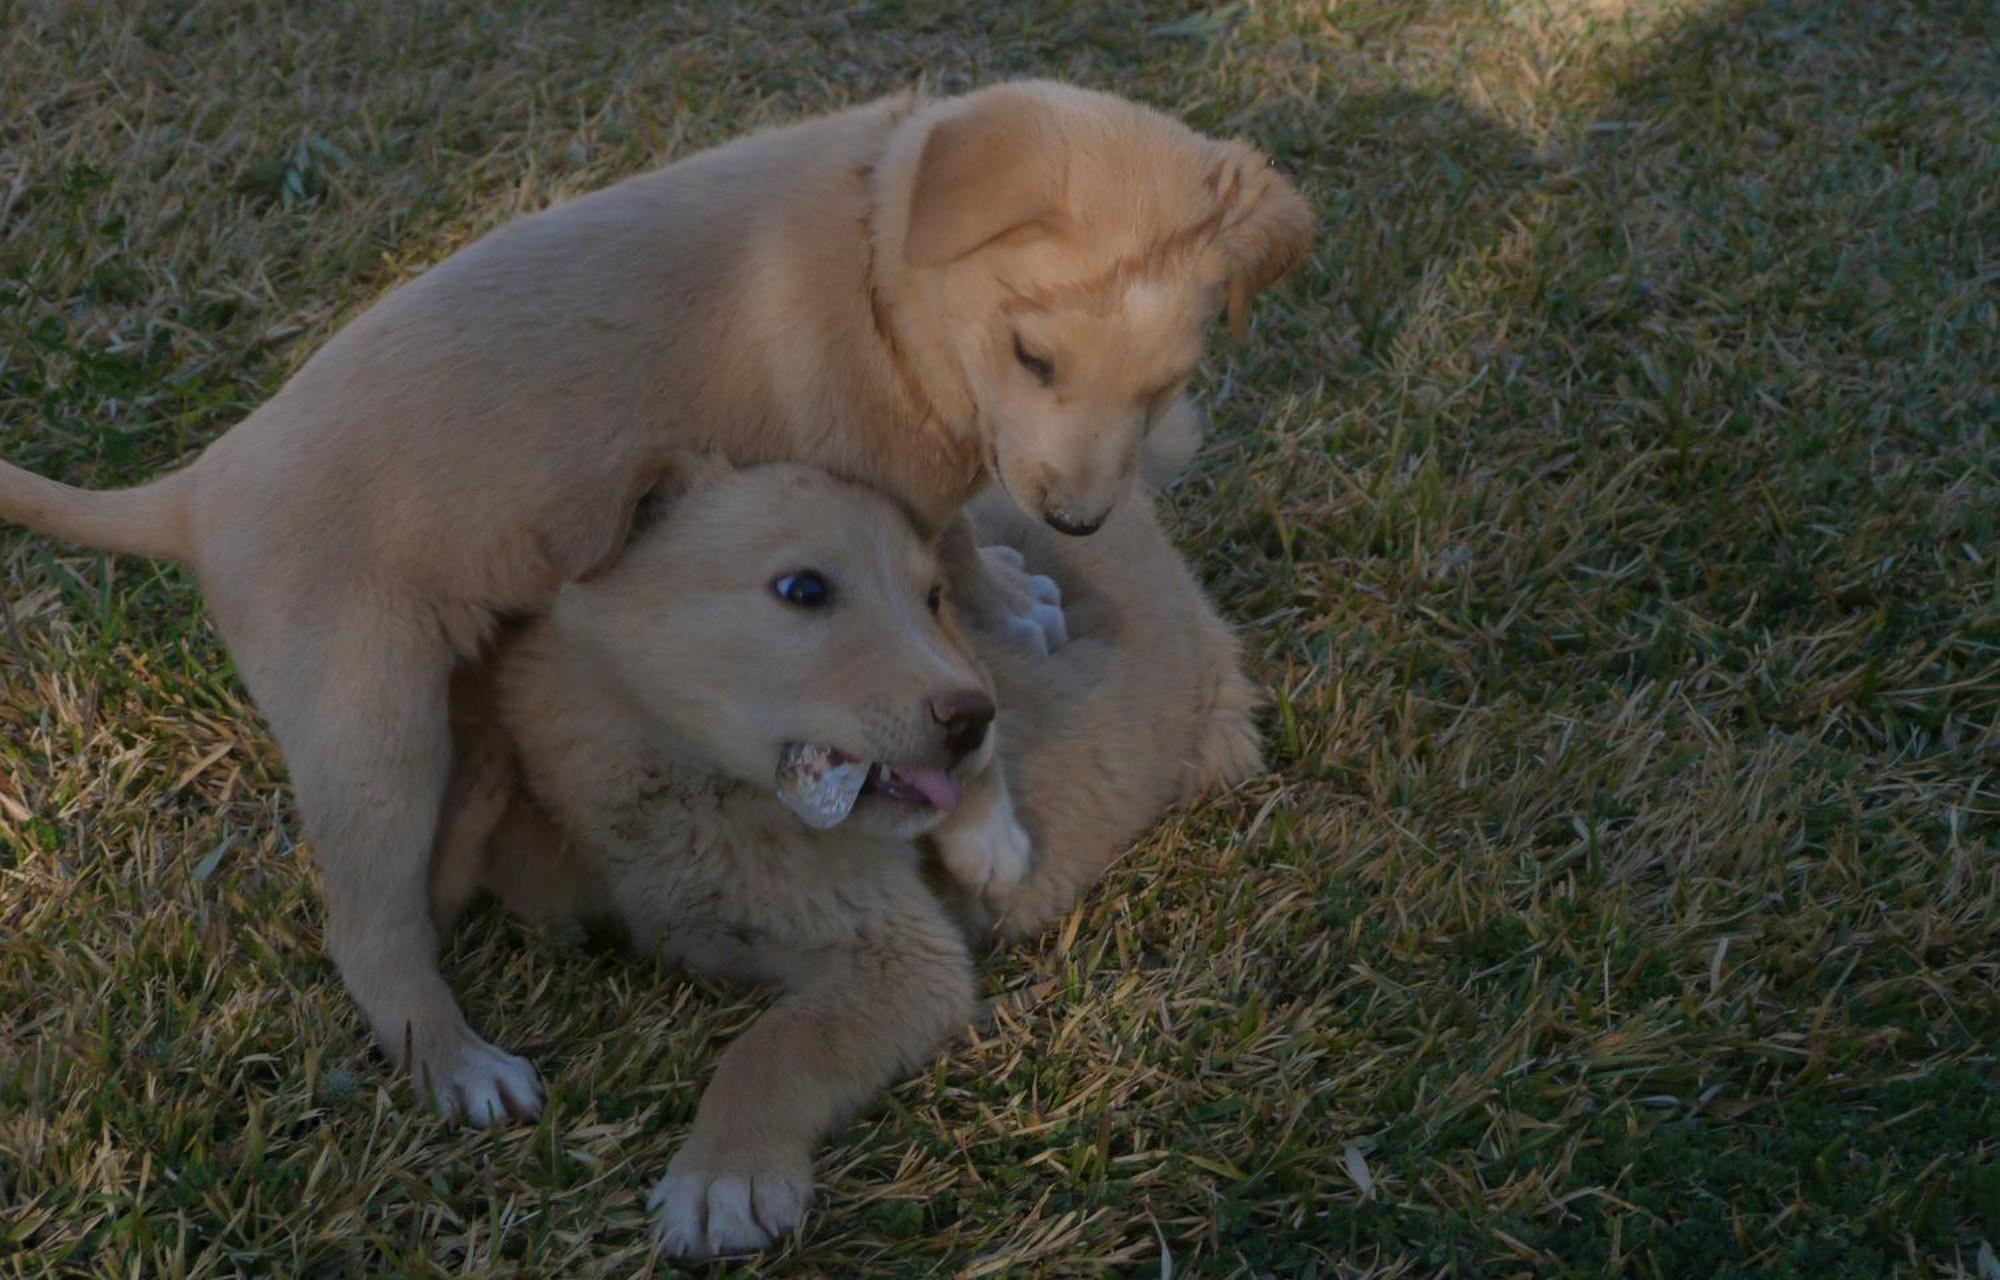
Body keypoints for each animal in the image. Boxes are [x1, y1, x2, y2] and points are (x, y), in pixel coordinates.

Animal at [0, 80, 1312, 1120]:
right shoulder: (871, 504)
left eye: (1168, 386)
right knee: (368, 932)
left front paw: (1010, 598)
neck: (877, 273)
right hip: (371, 726)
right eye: (1034, 357)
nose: (1080, 523)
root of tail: (200, 487)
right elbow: (948, 665)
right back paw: (461, 1062)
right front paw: (990, 799)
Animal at [434, 452, 1264, 1264]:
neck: (685, 783)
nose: (976, 721)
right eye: (803, 590)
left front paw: (726, 1177)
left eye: (933, 598)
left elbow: (776, 1047)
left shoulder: (902, 956)